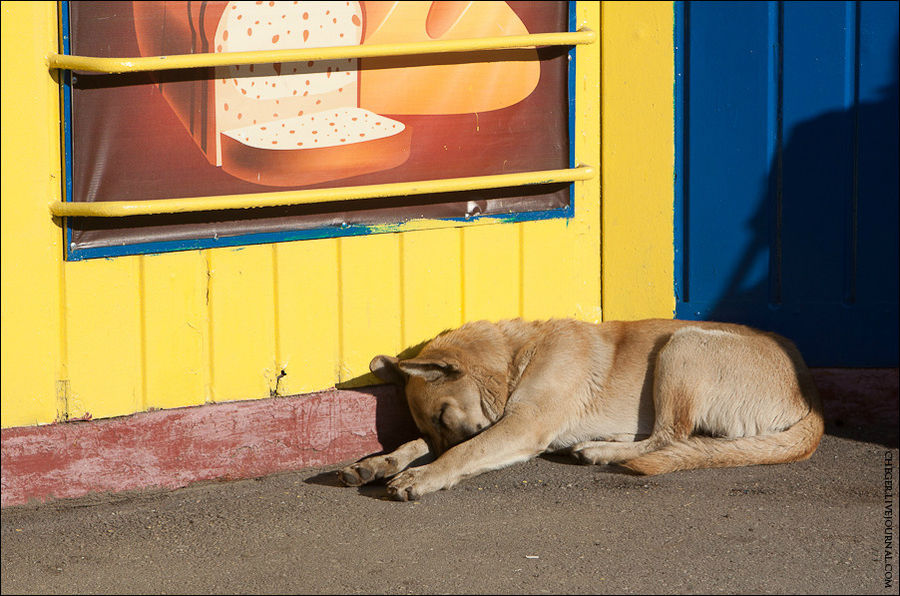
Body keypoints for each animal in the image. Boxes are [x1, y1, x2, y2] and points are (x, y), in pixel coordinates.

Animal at [342, 318, 828, 500]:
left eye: (444, 417)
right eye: (434, 425)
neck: (518, 358)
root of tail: (811, 398)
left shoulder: (521, 426)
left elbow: (465, 450)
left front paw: (424, 476)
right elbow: (413, 445)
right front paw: (378, 462)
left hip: (682, 344)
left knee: (671, 436)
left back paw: (600, 451)